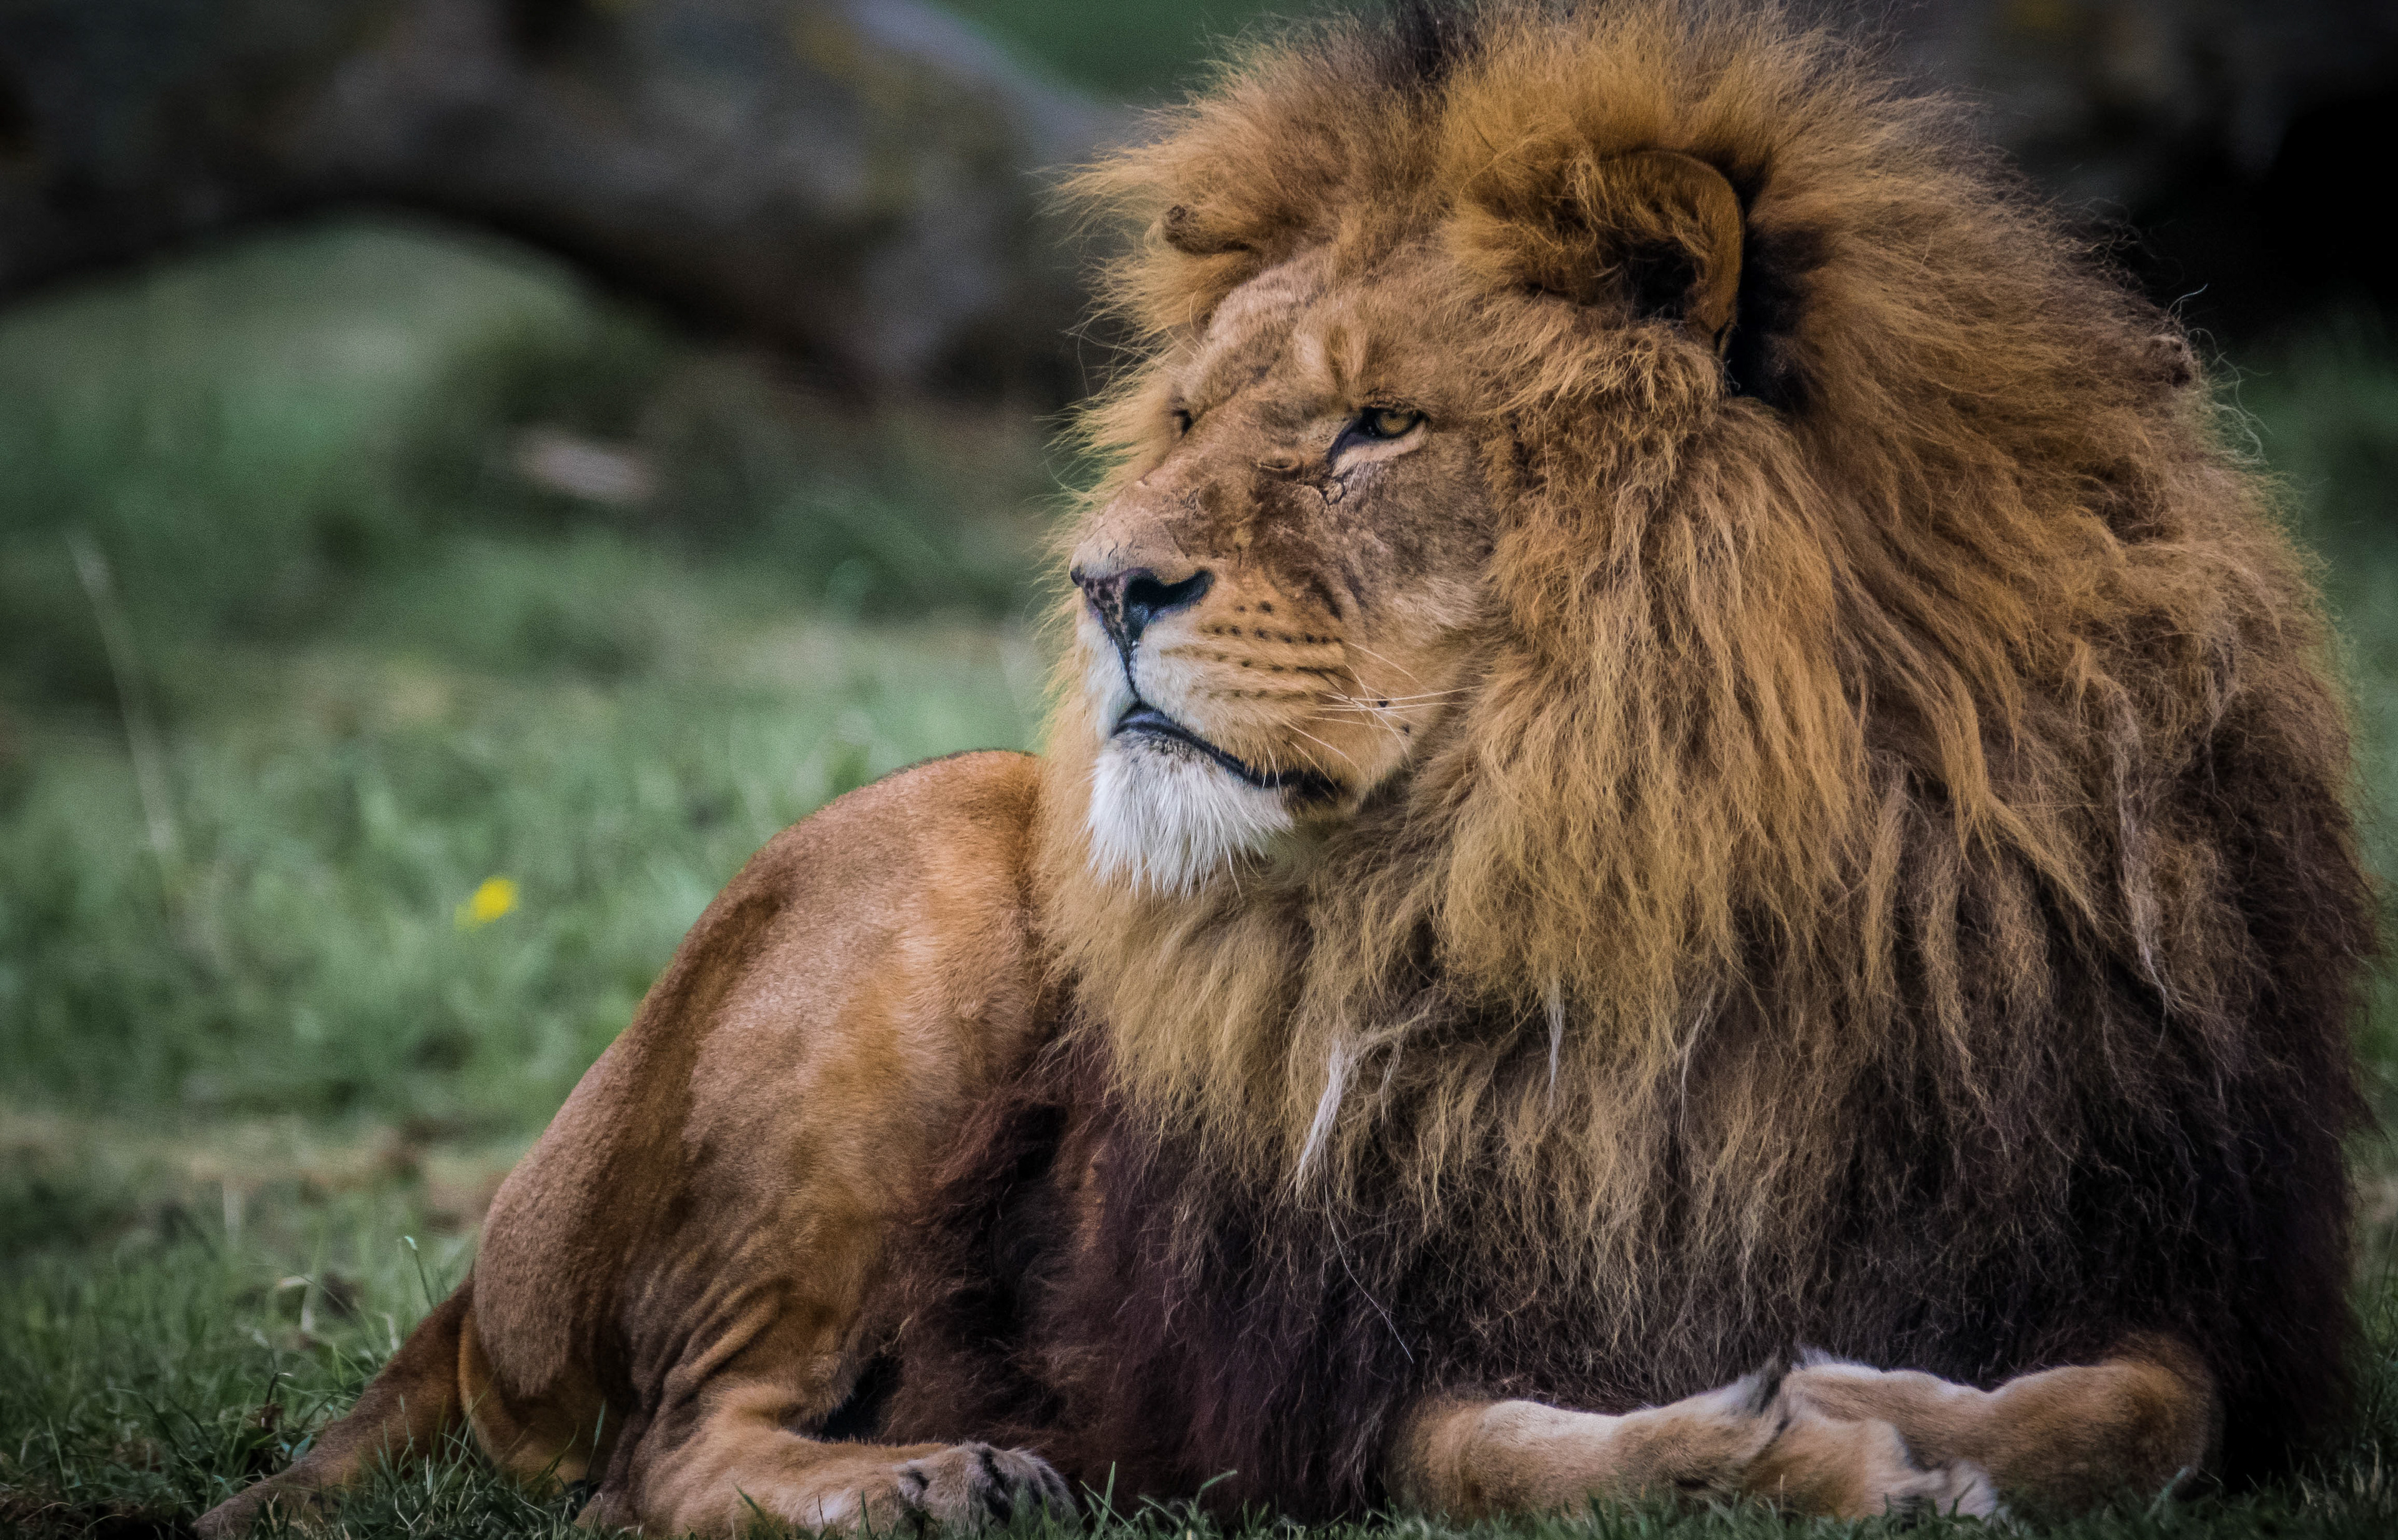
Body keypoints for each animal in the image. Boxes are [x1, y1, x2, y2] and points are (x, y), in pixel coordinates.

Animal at [196, 6, 2369, 1525]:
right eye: (1180, 418)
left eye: (1375, 428)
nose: (1100, 581)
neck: (1653, 863)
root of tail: (472, 1289)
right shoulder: (1311, 1372)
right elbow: (1512, 1448)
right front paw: (1801, 1446)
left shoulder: (2178, 1262)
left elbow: (2157, 1403)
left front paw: (1915, 1411)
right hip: (930, 847)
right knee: (661, 1455)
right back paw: (935, 1481)